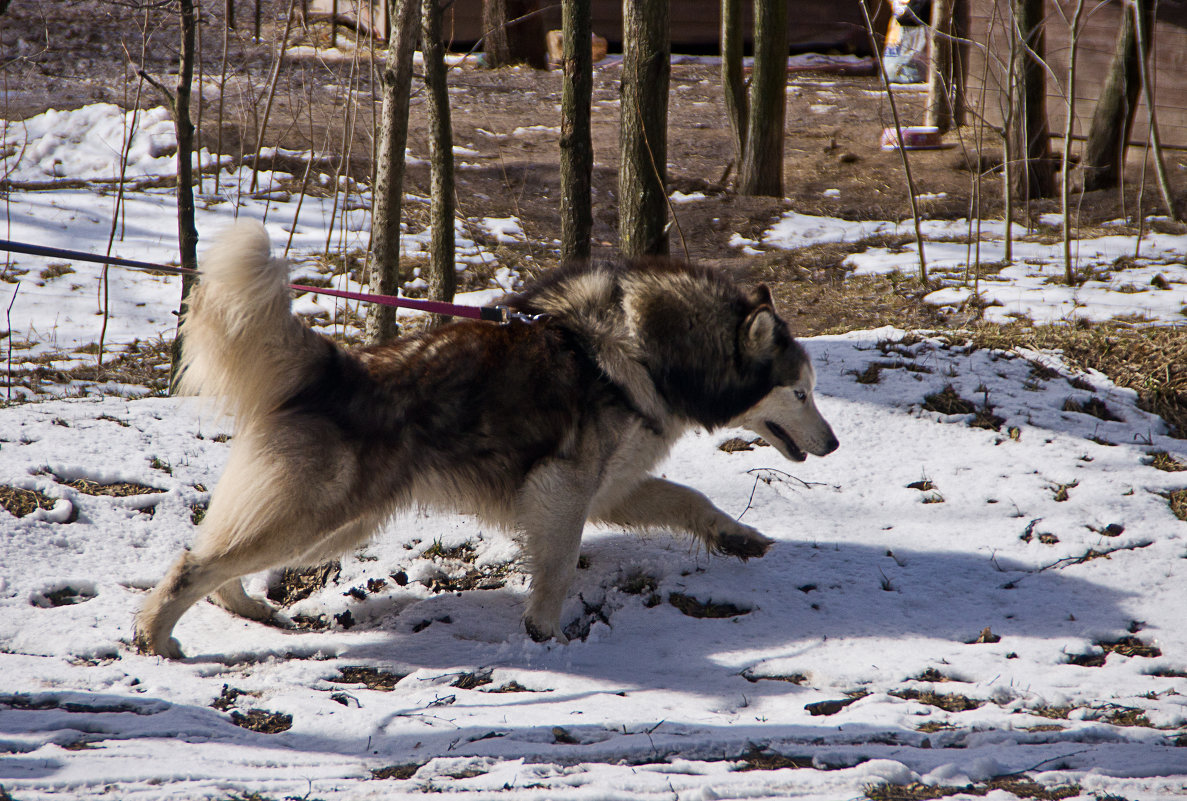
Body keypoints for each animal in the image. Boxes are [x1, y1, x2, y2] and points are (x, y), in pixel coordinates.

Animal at [134, 220, 840, 659]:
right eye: (801, 393)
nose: (834, 445)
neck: (646, 347)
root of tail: (339, 365)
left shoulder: (611, 490)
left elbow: (693, 500)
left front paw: (736, 536)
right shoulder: (563, 490)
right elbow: (558, 568)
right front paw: (545, 634)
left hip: (331, 527)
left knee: (210, 552)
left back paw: (242, 609)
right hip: (316, 521)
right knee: (193, 561)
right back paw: (157, 638)